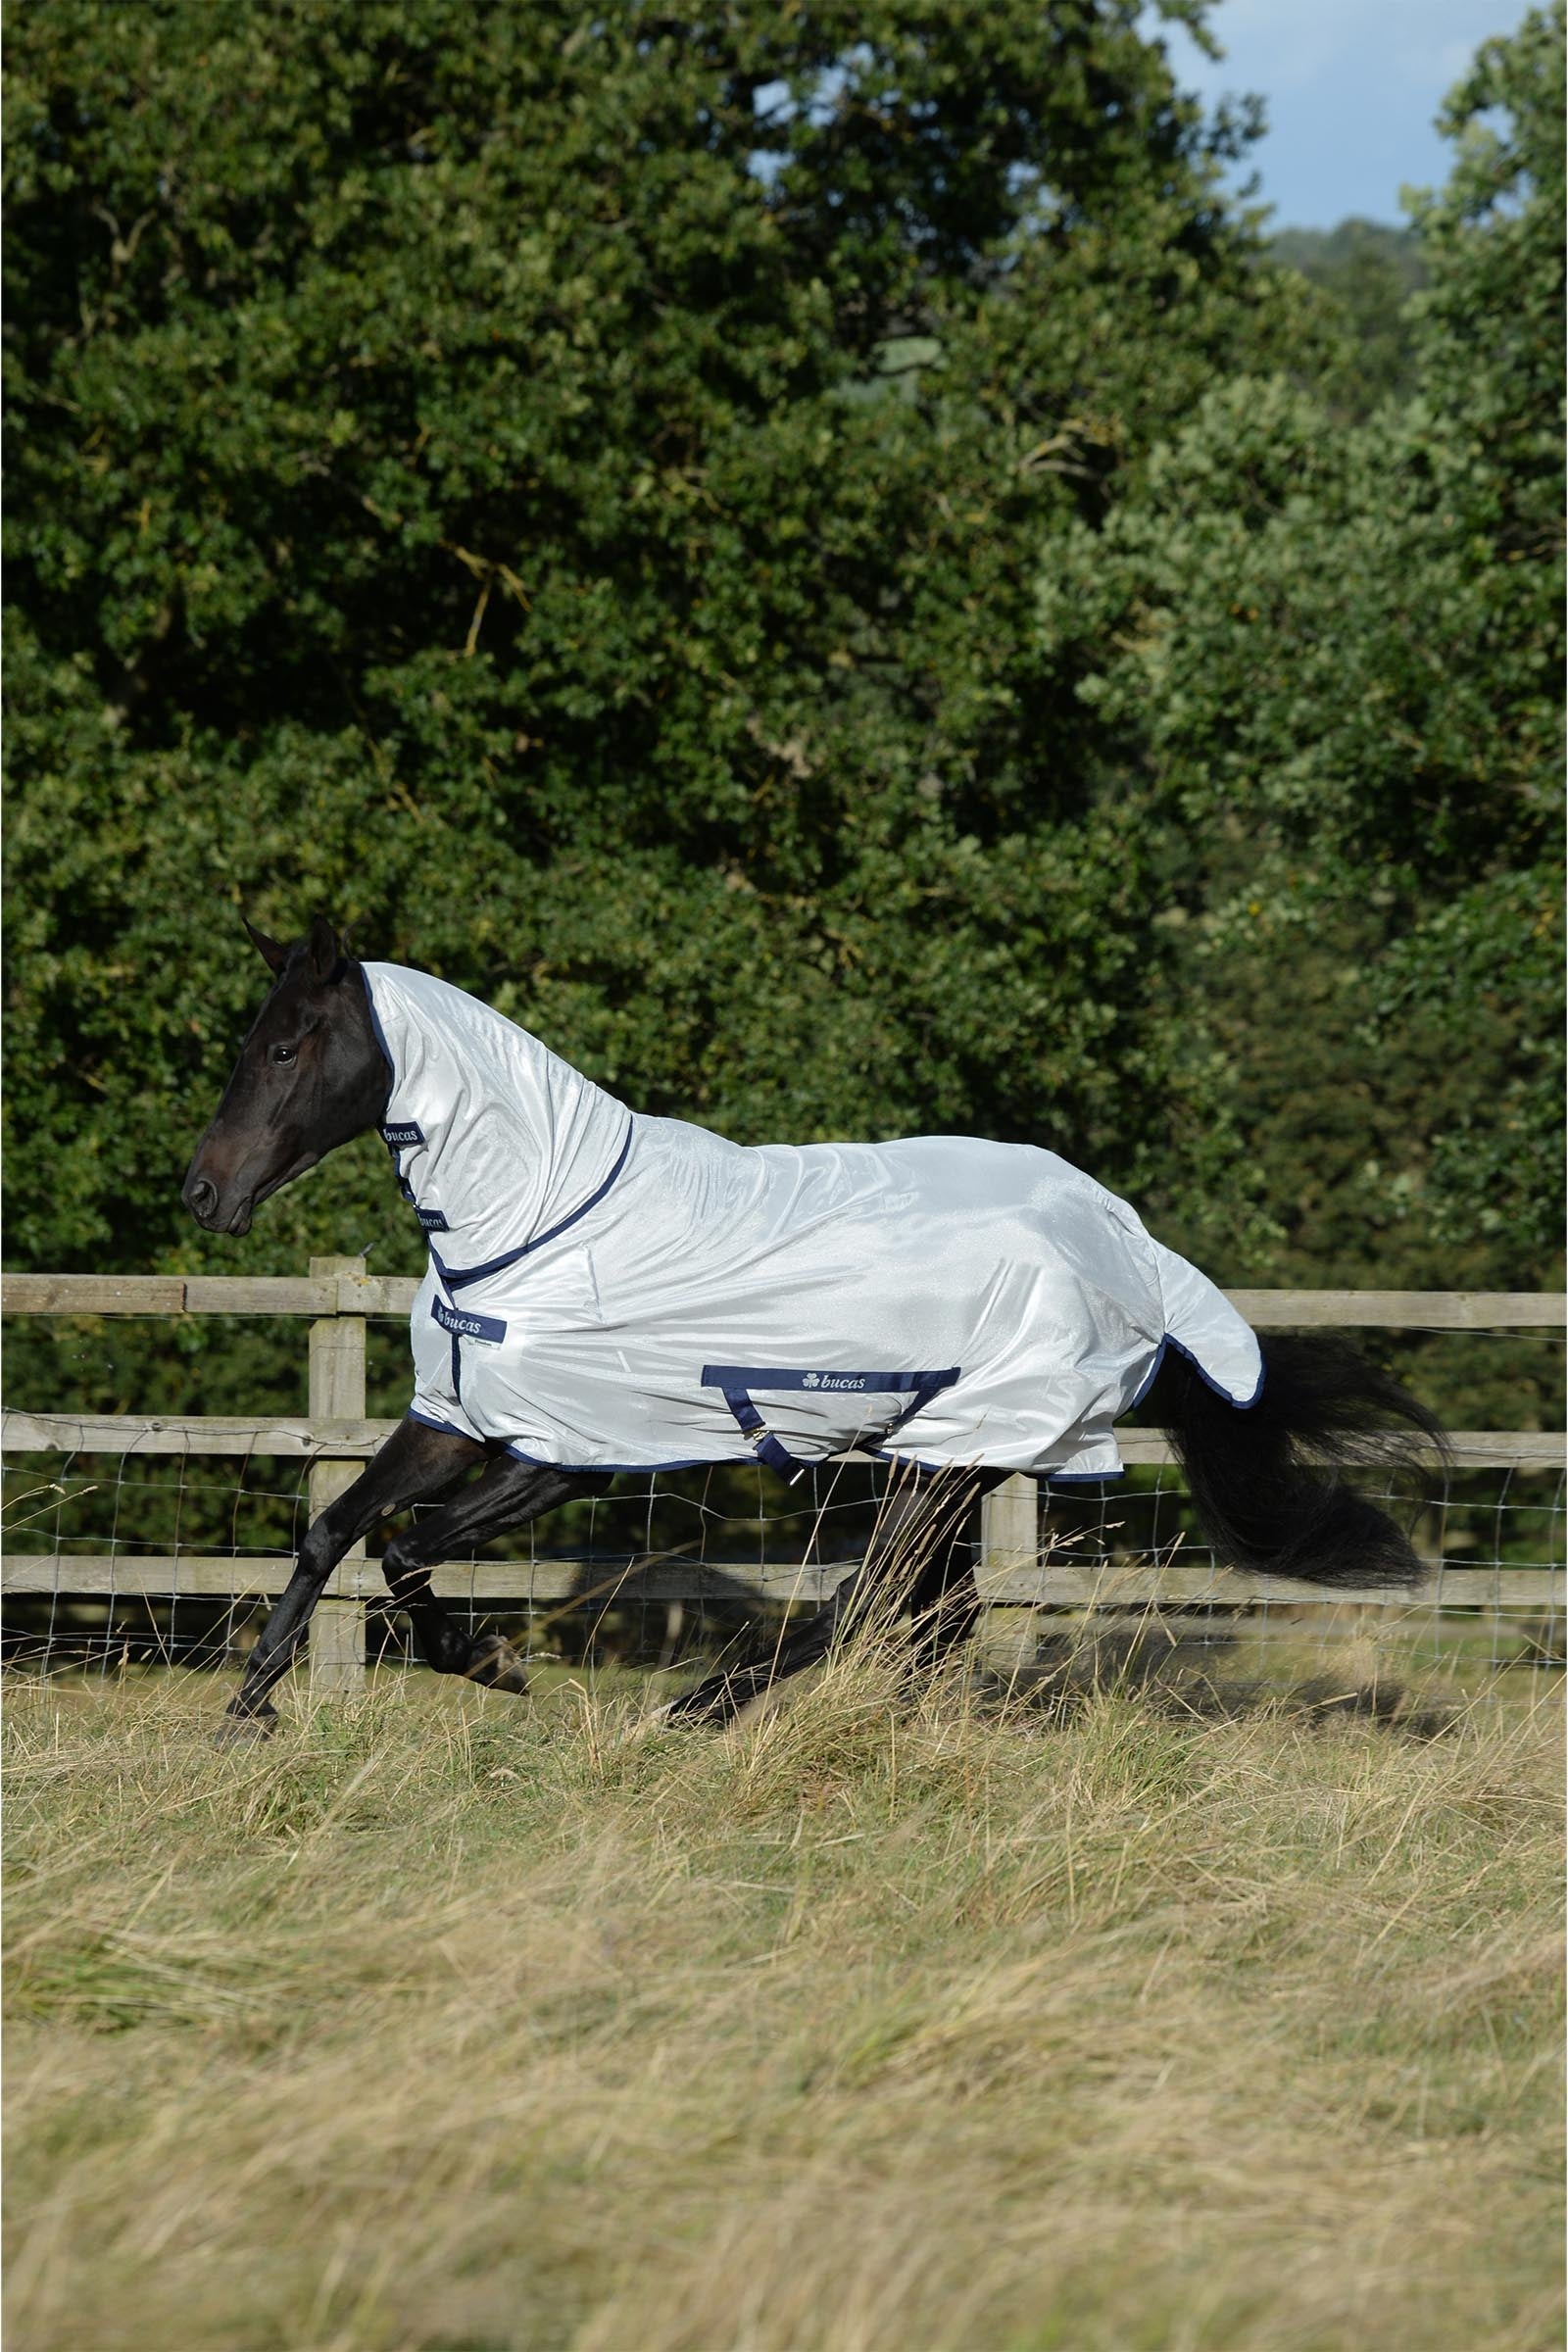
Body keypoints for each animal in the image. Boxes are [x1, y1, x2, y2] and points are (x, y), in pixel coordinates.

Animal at [183, 918, 1444, 1740]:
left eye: (288, 1045)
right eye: (248, 1041)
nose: (203, 1193)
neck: (540, 1221)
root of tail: (1125, 1246)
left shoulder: (566, 1454)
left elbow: (407, 1547)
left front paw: (487, 1664)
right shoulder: (455, 1421)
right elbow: (336, 1531)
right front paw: (251, 1706)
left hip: (953, 1461)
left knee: (869, 1603)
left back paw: (689, 1713)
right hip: (942, 1464)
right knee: (926, 1615)